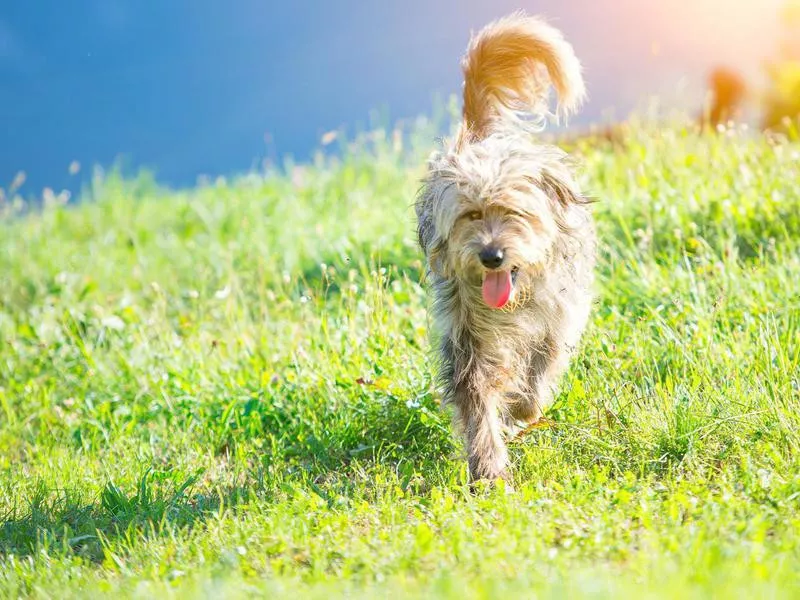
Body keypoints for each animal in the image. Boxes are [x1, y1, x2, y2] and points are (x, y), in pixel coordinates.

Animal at [416, 11, 596, 486]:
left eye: (513, 212)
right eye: (470, 215)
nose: (491, 256)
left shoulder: (558, 319)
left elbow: (541, 369)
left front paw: (522, 409)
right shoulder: (466, 335)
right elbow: (476, 395)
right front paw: (488, 468)